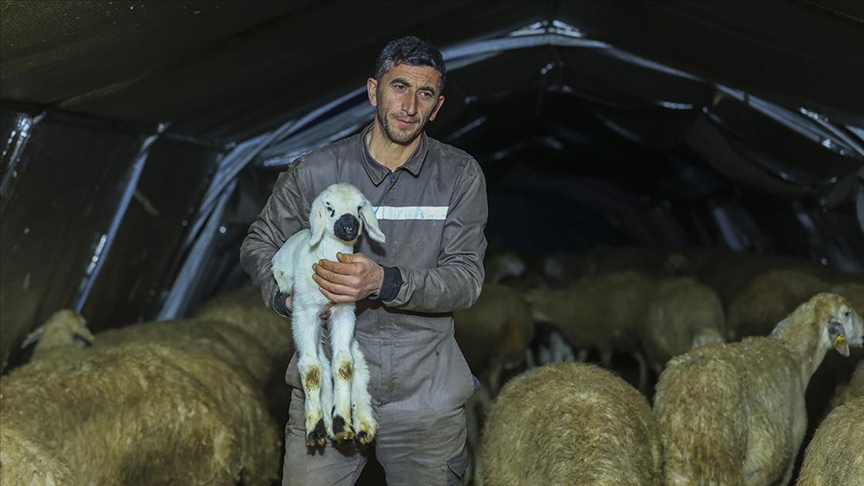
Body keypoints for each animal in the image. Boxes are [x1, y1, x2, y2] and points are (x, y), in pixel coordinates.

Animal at [270, 183, 384, 448]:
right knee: (320, 362)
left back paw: (362, 423)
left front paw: (343, 422)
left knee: (356, 363)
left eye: (360, 207)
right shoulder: (304, 312)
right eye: (329, 207)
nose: (349, 225)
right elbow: (311, 370)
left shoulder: (345, 312)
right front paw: (316, 428)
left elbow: (344, 365)